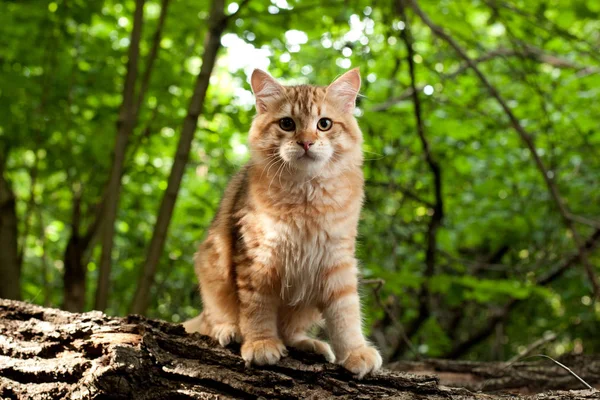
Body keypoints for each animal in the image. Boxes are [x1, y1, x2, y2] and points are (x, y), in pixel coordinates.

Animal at [183, 68, 382, 378]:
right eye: (287, 124)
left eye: (324, 124)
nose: (306, 142)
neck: (305, 195)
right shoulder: (256, 259)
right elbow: (257, 309)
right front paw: (261, 342)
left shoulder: (337, 261)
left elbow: (346, 313)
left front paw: (355, 351)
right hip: (210, 265)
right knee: (211, 320)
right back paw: (230, 330)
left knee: (290, 332)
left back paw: (309, 344)